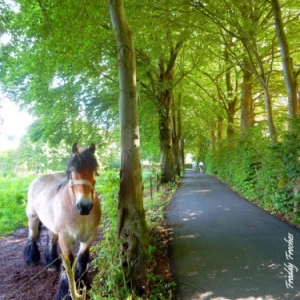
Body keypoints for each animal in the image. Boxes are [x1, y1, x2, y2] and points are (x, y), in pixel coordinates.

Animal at [23, 144, 101, 300]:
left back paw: (51, 262)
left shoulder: (90, 236)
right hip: (33, 218)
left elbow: (82, 259)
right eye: (72, 172)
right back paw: (31, 258)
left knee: (51, 238)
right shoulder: (65, 238)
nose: (84, 206)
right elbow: (69, 264)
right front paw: (67, 292)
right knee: (32, 236)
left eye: (94, 171)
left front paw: (82, 284)